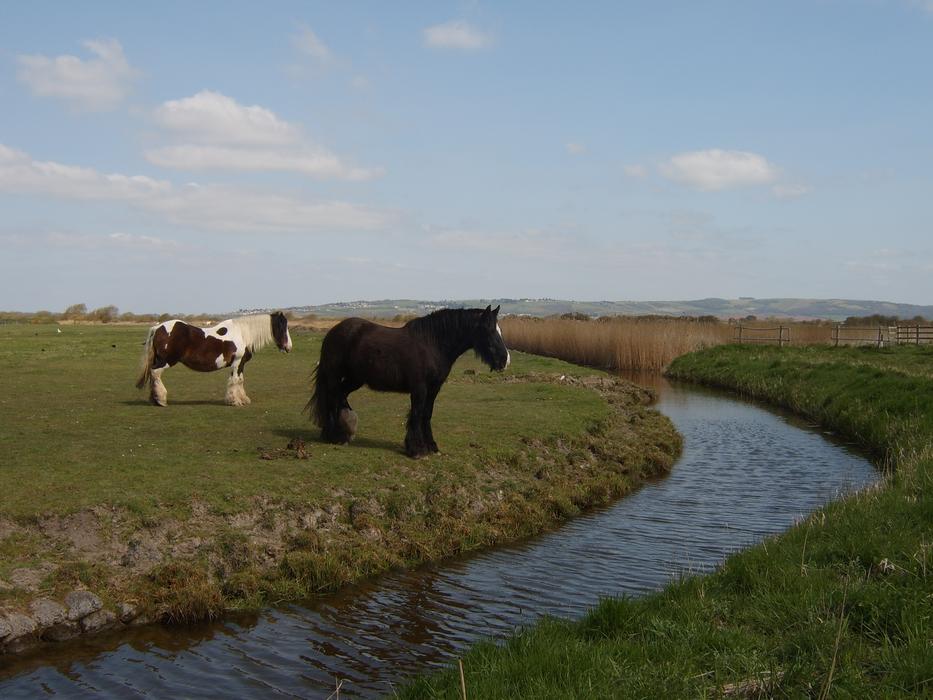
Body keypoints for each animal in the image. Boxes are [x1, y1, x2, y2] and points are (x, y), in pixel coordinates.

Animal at [136, 312, 292, 406]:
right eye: (282, 327)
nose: (289, 347)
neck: (242, 334)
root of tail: (157, 328)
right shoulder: (236, 362)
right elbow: (235, 380)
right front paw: (234, 401)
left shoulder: (241, 364)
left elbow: (240, 380)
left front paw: (243, 399)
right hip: (167, 361)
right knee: (155, 373)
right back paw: (161, 400)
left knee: (153, 375)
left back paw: (154, 399)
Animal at [309, 305, 510, 458]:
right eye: (489, 330)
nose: (505, 360)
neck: (432, 344)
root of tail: (334, 331)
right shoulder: (419, 388)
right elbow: (416, 414)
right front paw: (416, 449)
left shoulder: (434, 389)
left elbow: (426, 415)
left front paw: (431, 446)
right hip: (335, 376)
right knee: (332, 398)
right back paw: (334, 435)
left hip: (355, 379)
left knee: (340, 395)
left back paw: (346, 430)